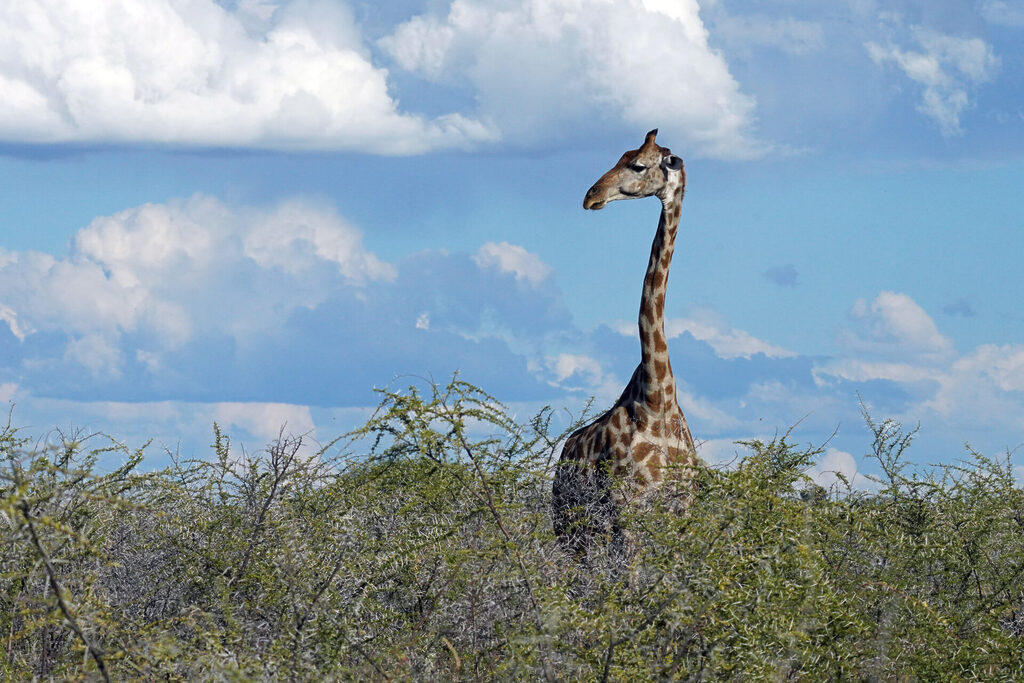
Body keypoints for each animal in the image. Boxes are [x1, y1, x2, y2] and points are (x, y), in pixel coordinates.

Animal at [552, 129, 700, 555]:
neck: (657, 397)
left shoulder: (683, 510)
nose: (591, 195)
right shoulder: (627, 508)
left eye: (637, 165)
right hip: (573, 529)